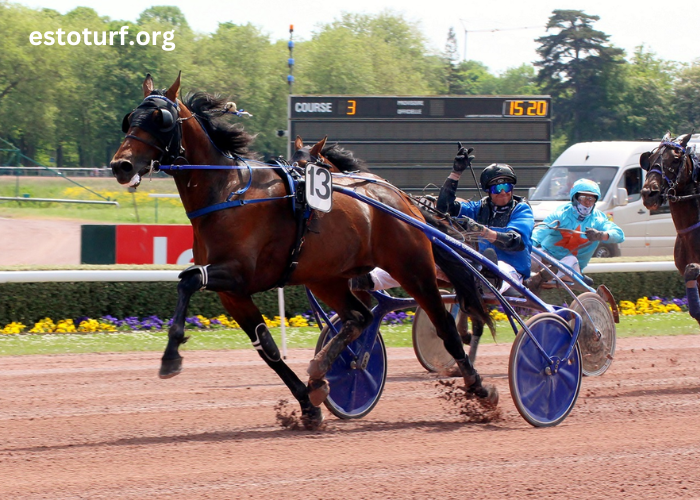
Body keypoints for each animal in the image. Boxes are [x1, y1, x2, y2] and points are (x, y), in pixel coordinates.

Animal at [110, 72, 498, 428]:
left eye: (160, 119)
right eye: (130, 119)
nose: (121, 165)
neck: (227, 192)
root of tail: (402, 199)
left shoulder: (239, 273)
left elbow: (189, 278)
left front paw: (171, 356)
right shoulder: (233, 293)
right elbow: (266, 346)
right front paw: (308, 404)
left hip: (412, 267)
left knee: (444, 325)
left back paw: (479, 388)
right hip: (326, 277)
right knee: (360, 317)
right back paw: (321, 369)